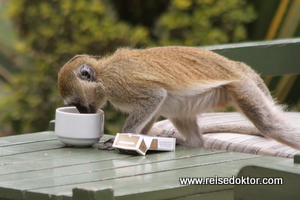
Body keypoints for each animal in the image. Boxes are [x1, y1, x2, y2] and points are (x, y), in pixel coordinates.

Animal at [57, 46, 300, 150]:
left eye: (78, 104)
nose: (84, 113)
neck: (102, 73)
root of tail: (237, 67)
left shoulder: (117, 85)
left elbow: (155, 96)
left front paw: (125, 137)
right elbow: (157, 102)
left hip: (241, 86)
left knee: (269, 125)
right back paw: (191, 142)